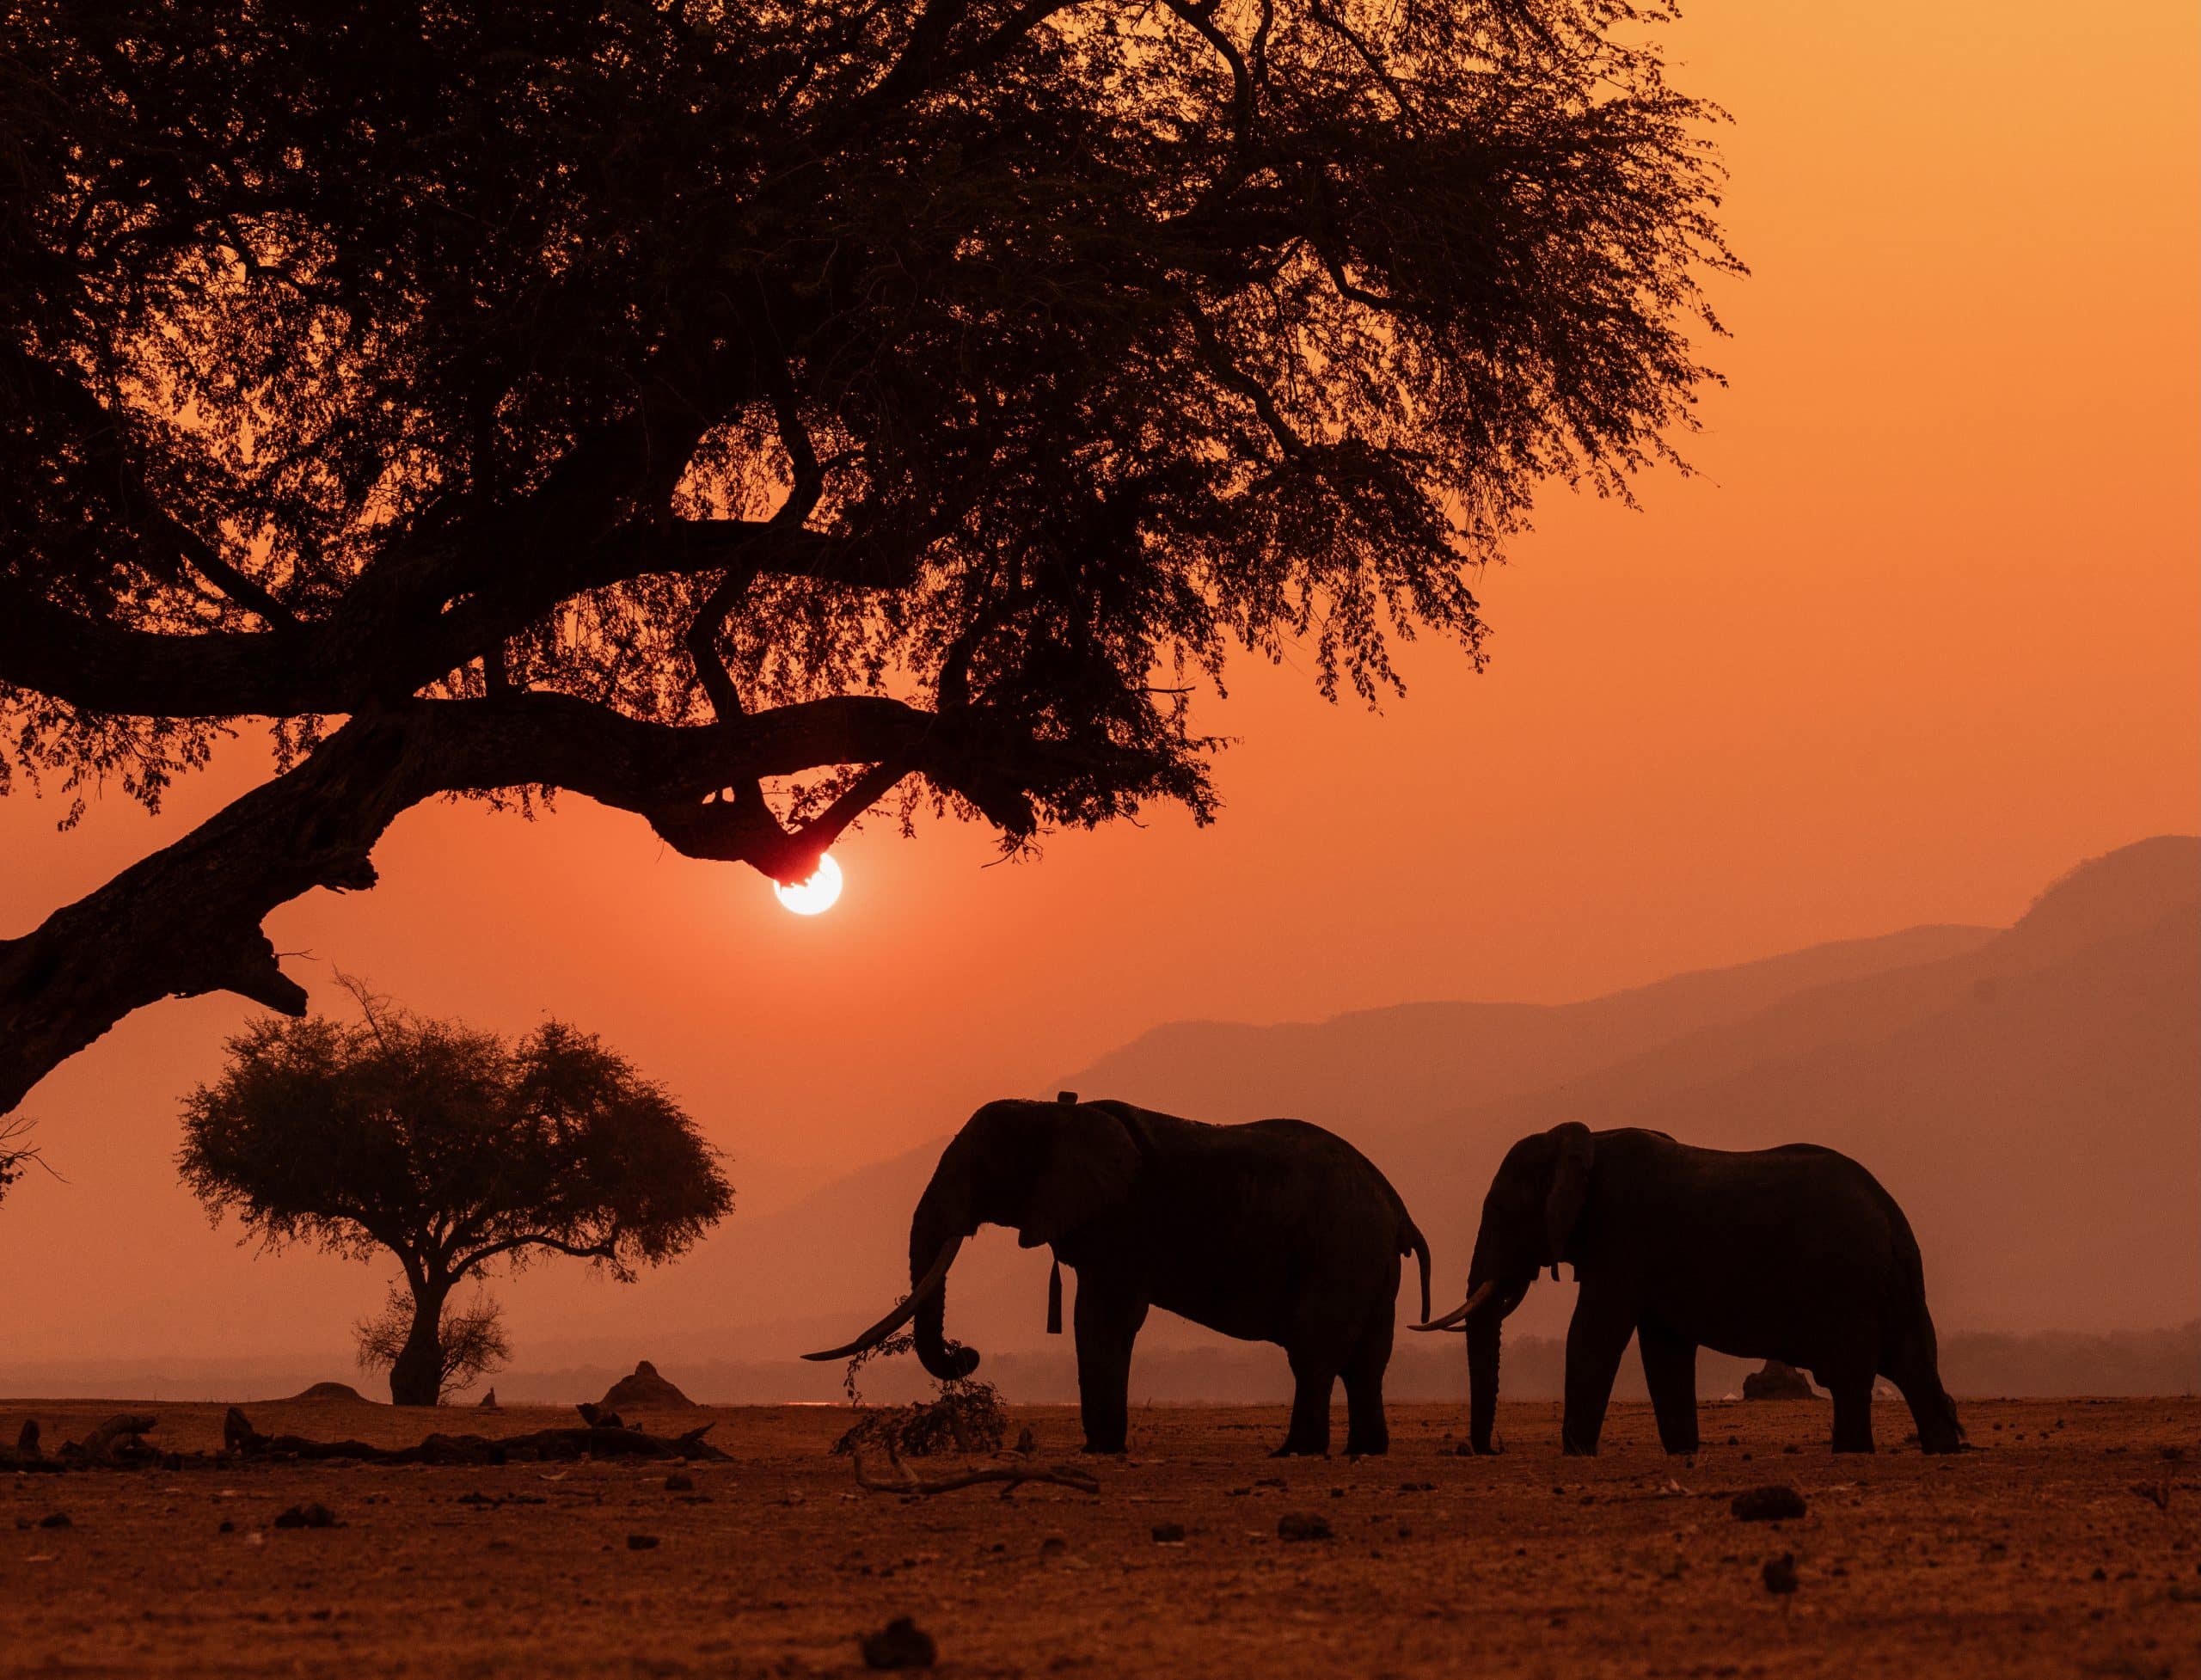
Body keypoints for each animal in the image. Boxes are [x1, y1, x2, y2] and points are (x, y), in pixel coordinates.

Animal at [807, 1095, 1431, 1456]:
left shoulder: (1123, 1222)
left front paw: (1101, 1451)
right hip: (1366, 1260)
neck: (1055, 1108)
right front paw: (1100, 1447)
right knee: (1367, 1360)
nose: (966, 1353)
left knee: (1314, 1352)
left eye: (983, 1166)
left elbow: (1103, 1319)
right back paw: (1365, 1452)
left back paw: (1296, 1453)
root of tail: (1397, 1206)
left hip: (1339, 1248)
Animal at [1417, 1124, 1964, 1457]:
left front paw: (1575, 1453)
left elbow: (1594, 1335)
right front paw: (1683, 1450)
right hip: (1890, 1288)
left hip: (1845, 1284)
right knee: (1914, 1366)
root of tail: (1893, 1218)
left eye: (1503, 1213)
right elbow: (1664, 1348)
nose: (1488, 1449)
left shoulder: (1622, 1237)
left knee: (1853, 1376)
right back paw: (1943, 1445)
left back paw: (1852, 1452)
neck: (1583, 1140)